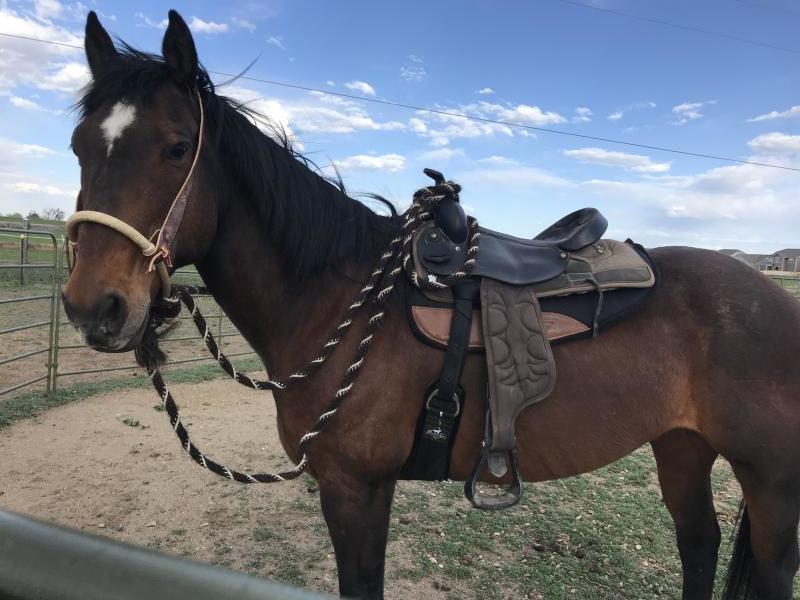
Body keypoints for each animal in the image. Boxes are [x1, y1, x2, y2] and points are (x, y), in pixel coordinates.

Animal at [62, 10, 800, 600]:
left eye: (177, 146)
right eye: (78, 147)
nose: (95, 308)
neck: (336, 300)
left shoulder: (356, 488)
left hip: (770, 481)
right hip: (682, 446)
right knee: (698, 544)